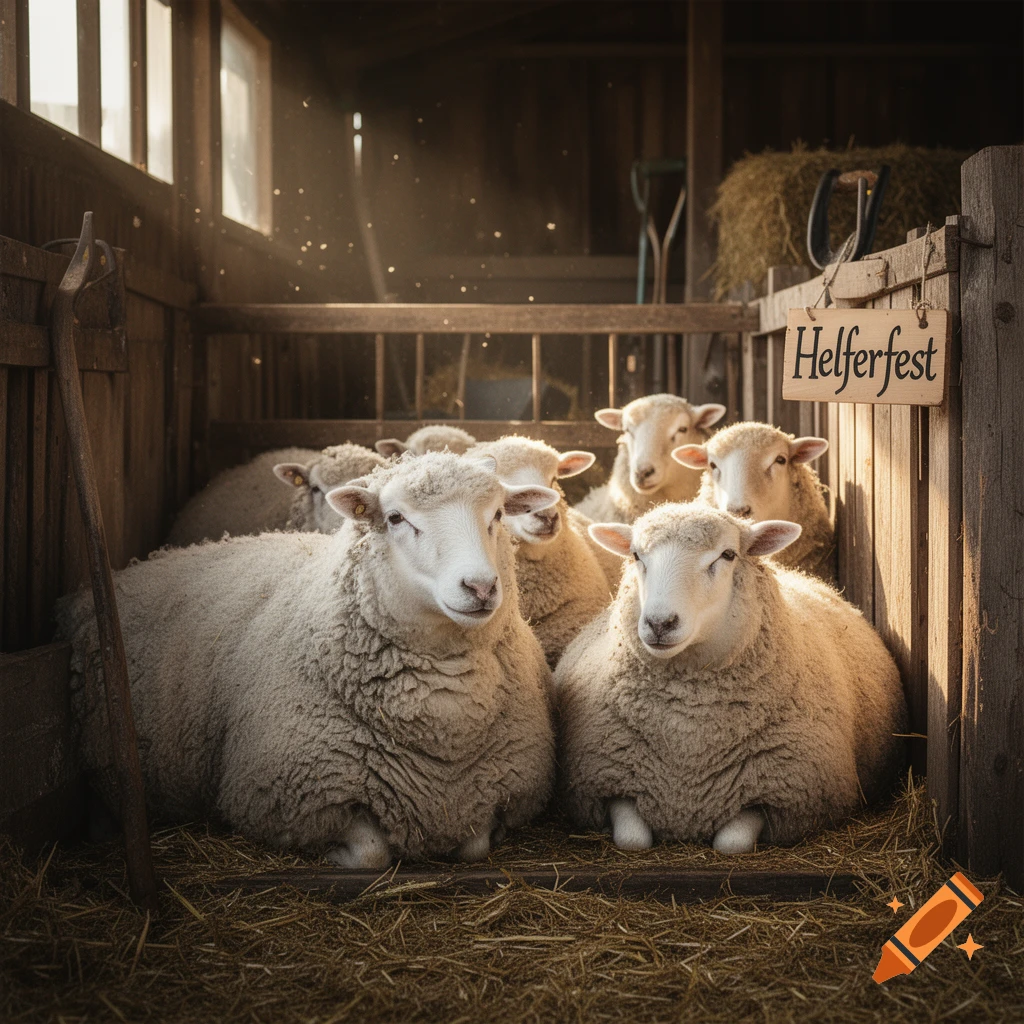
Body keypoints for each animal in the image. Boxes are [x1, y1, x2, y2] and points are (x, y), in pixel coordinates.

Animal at [555, 503, 906, 854]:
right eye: (637, 555)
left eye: (727, 555)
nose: (659, 623)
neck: (688, 734)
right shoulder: (605, 786)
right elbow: (633, 840)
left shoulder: (781, 796)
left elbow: (731, 843)